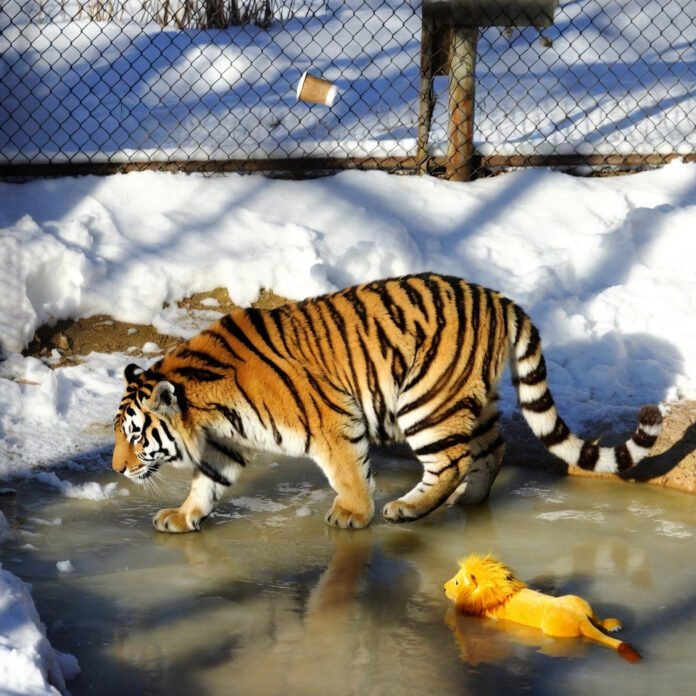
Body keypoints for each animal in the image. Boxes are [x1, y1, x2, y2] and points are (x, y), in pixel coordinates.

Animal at [112, 273, 663, 533]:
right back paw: (470, 500)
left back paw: (408, 509)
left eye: (136, 436)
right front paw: (182, 516)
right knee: (492, 448)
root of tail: (499, 299)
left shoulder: (332, 419)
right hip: (469, 401)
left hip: (424, 399)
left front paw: (353, 514)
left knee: (451, 459)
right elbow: (208, 482)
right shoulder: (226, 442)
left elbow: (348, 471)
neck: (206, 406)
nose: (117, 469)